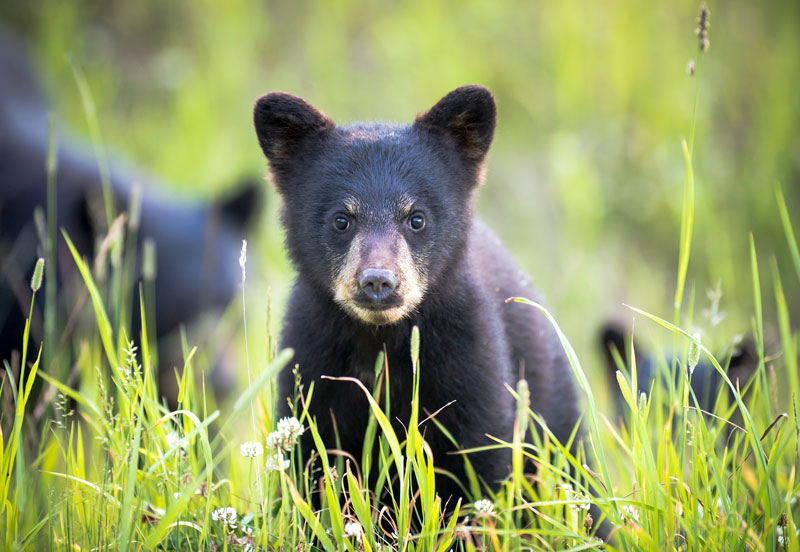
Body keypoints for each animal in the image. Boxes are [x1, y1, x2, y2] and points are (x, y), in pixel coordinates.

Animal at [253, 86, 580, 504]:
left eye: (416, 218)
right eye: (341, 220)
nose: (378, 282)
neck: (382, 342)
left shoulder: (468, 363)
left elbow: (481, 463)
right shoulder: (313, 366)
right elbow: (313, 469)